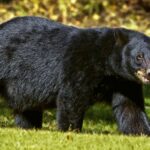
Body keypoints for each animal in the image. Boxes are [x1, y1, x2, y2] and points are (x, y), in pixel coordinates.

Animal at [0, 16, 150, 135]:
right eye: (139, 57)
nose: (148, 72)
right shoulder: (79, 64)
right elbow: (72, 97)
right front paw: (71, 130)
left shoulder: (125, 82)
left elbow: (130, 106)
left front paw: (141, 132)